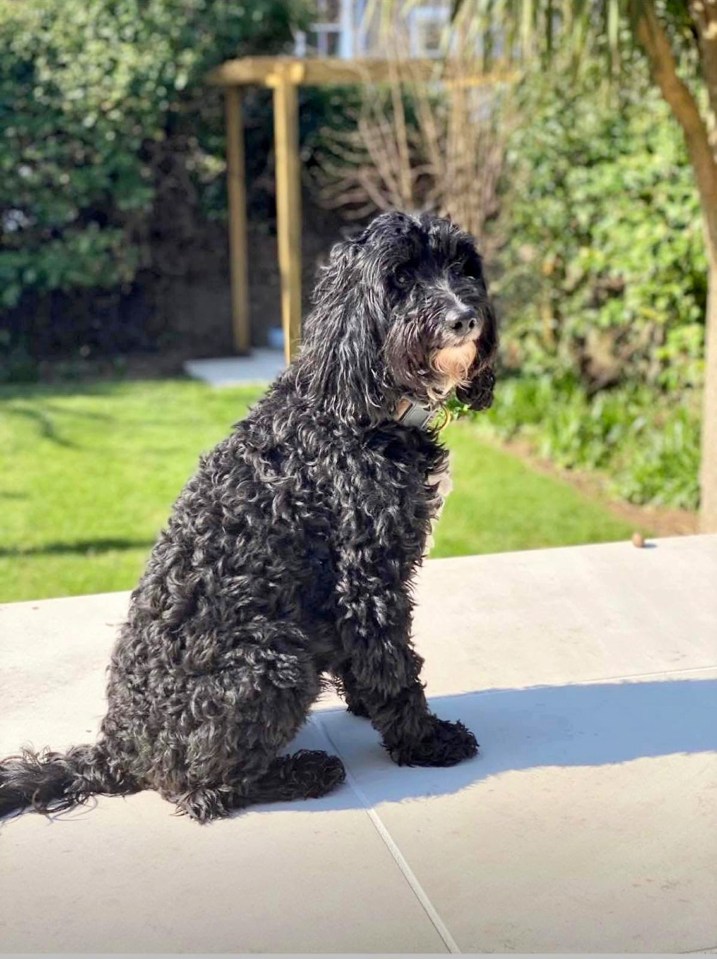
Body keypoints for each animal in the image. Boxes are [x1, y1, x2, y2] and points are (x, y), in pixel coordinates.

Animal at [0, 212, 496, 824]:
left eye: (460, 267)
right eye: (401, 277)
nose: (463, 317)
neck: (356, 410)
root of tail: (120, 747)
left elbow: (370, 662)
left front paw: (365, 705)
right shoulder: (365, 579)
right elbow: (394, 665)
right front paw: (425, 741)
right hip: (273, 660)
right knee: (201, 791)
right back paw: (304, 771)